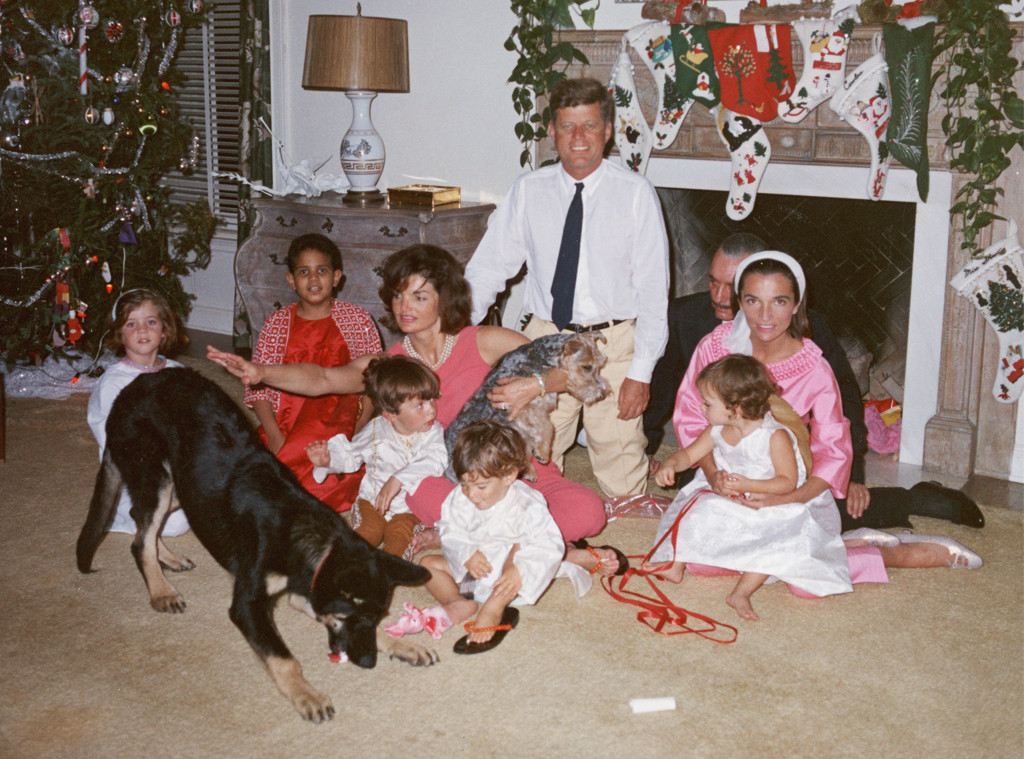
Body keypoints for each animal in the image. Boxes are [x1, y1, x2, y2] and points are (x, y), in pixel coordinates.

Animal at [75, 366, 434, 721]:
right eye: (353, 619)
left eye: (375, 617)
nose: (368, 663)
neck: (310, 535)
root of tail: (133, 385)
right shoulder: (247, 606)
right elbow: (284, 659)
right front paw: (306, 695)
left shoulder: (304, 591)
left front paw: (403, 645)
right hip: (156, 477)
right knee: (140, 539)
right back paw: (162, 590)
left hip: (186, 487)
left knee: (140, 520)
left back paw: (169, 559)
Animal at [442, 333, 606, 479]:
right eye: (586, 366)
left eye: (600, 365)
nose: (601, 394)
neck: (539, 358)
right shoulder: (524, 410)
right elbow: (548, 428)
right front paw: (543, 454)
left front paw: (533, 464)